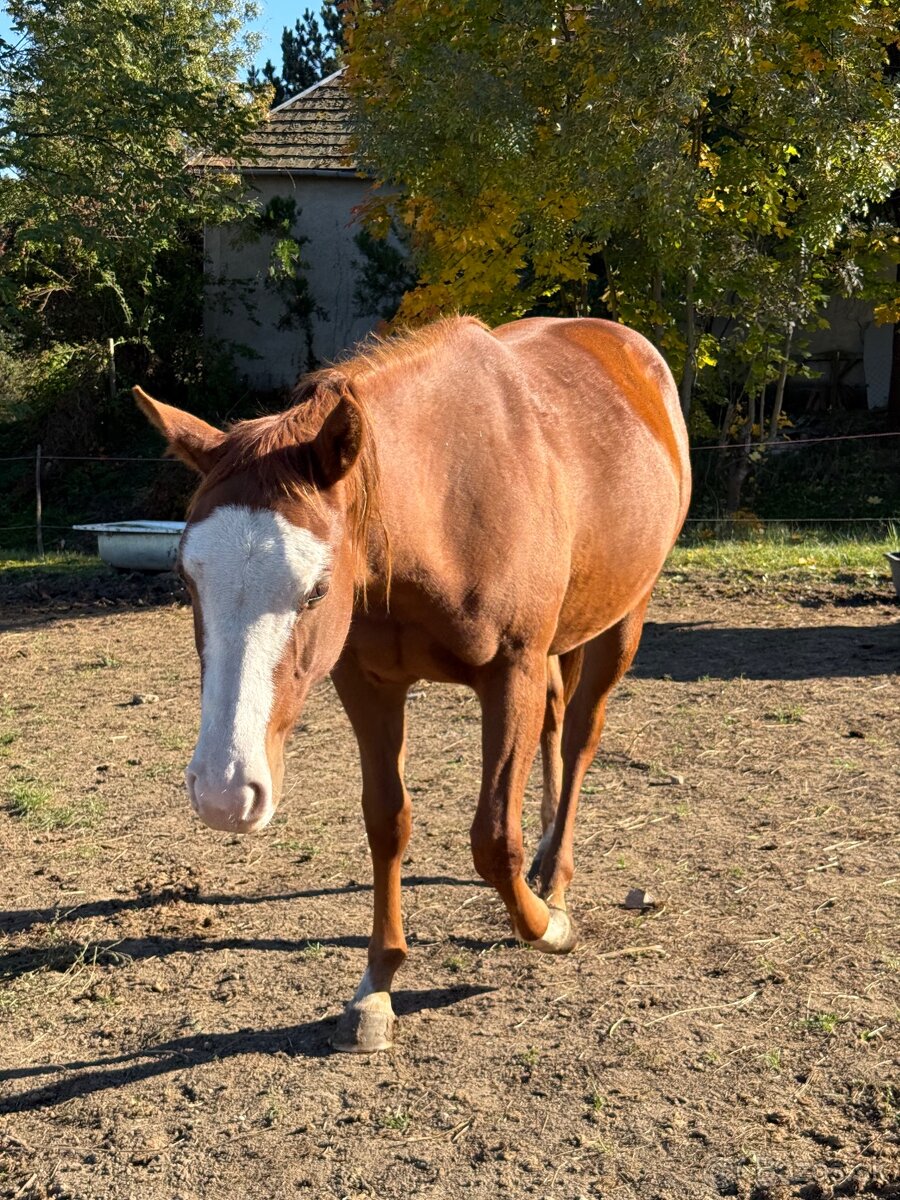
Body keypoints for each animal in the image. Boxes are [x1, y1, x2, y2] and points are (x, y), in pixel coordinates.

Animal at [135, 314, 690, 1053]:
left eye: (316, 589)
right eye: (186, 577)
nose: (225, 794)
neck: (446, 505)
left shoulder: (510, 673)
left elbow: (494, 839)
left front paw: (547, 926)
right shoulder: (367, 683)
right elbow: (387, 822)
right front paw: (377, 986)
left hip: (625, 618)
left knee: (578, 739)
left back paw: (556, 880)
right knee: (555, 719)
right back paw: (547, 854)